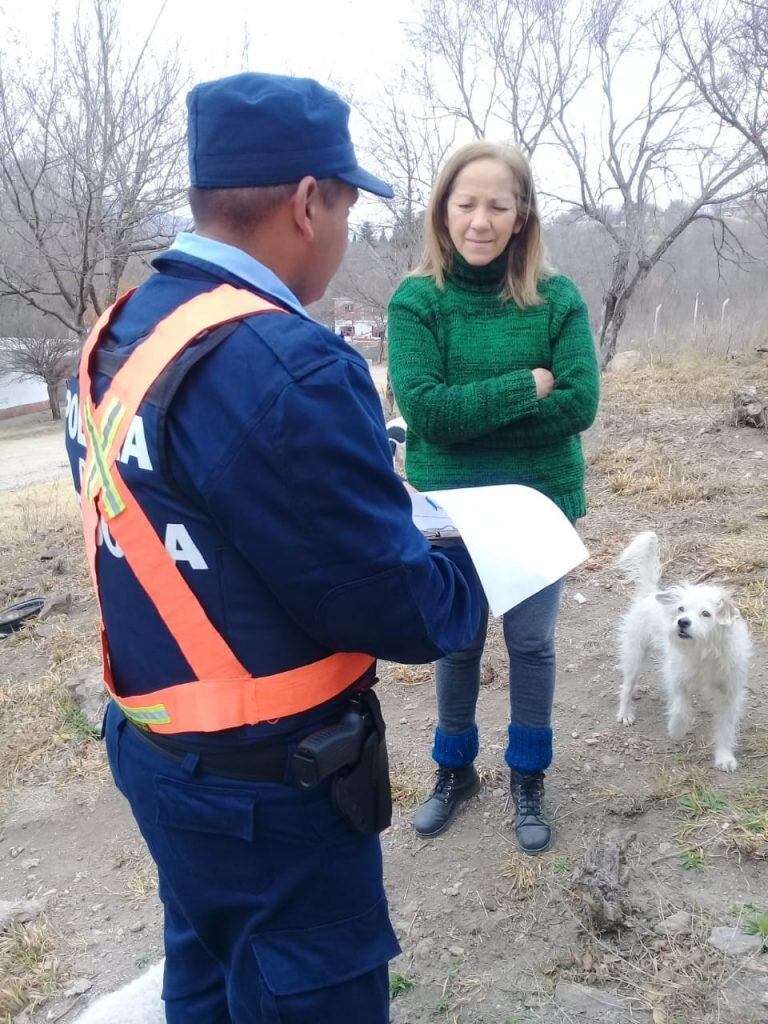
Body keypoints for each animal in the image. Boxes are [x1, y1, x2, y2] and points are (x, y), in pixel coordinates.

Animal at [618, 532, 753, 770]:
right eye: (681, 609)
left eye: (706, 613)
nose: (682, 622)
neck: (705, 650)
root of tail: (650, 594)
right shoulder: (677, 677)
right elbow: (680, 707)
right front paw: (676, 729)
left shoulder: (730, 692)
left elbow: (726, 726)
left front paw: (724, 756)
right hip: (634, 654)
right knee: (627, 685)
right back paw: (625, 712)